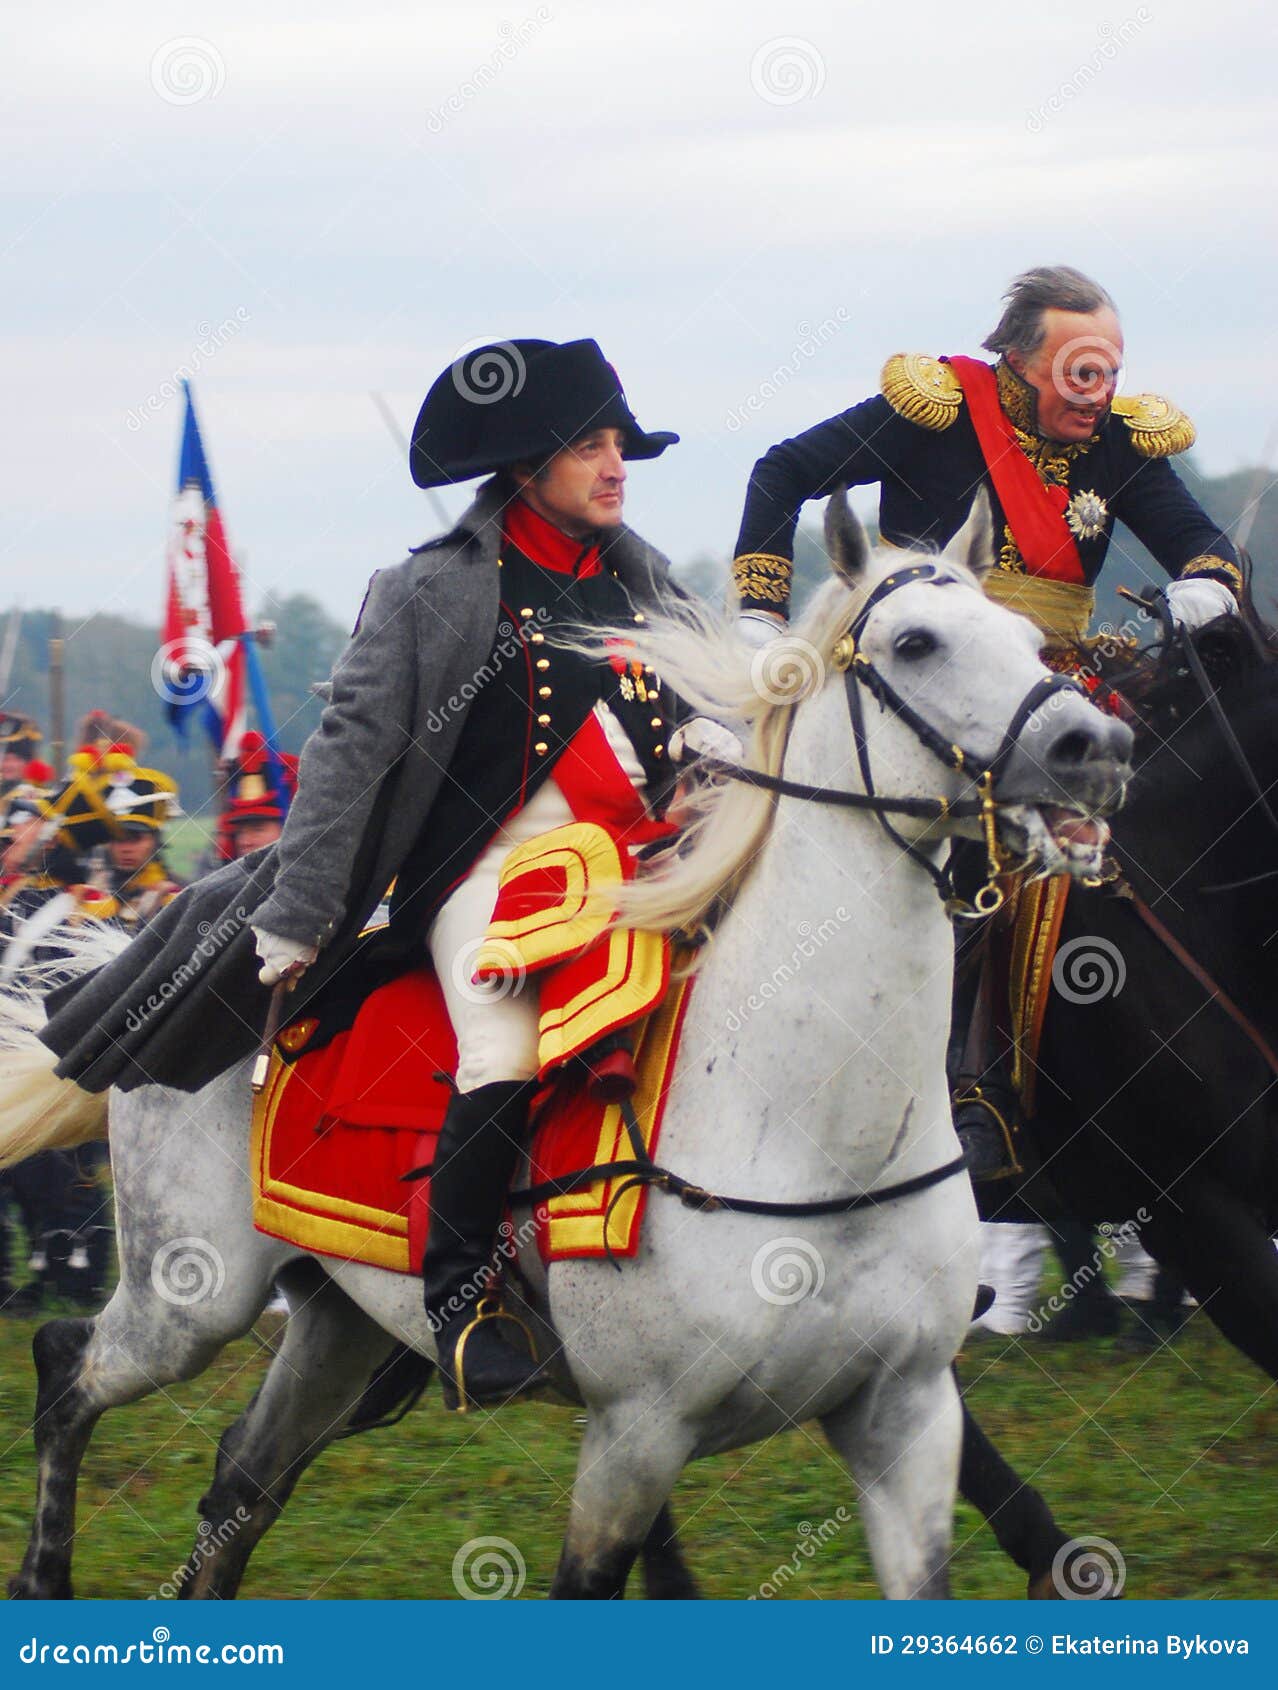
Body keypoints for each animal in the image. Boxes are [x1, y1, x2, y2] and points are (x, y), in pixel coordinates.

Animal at [0, 493, 1129, 1602]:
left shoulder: (907, 1416)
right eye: (916, 642)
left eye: (1029, 639)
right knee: (67, 1368)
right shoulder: (637, 1433)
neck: (812, 1126)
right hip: (191, 1300)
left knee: (242, 1481)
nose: (1098, 747)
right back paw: (46, 1574)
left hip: (336, 1317)